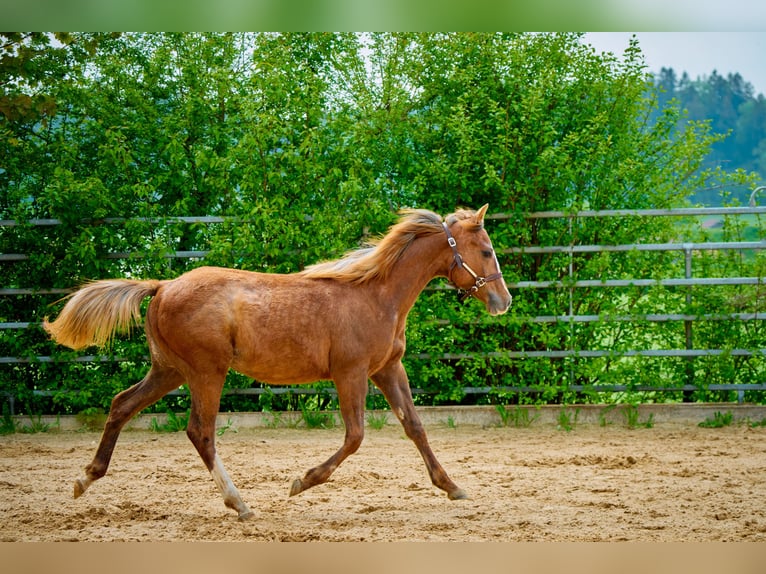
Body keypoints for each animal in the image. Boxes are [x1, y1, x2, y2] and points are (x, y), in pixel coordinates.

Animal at [43, 204, 511, 521]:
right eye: (487, 250)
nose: (503, 301)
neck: (377, 295)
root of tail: (162, 286)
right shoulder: (351, 373)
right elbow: (355, 436)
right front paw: (301, 482)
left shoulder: (387, 369)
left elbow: (414, 427)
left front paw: (452, 487)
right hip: (206, 372)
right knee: (200, 432)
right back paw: (240, 504)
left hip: (168, 371)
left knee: (121, 405)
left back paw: (84, 479)